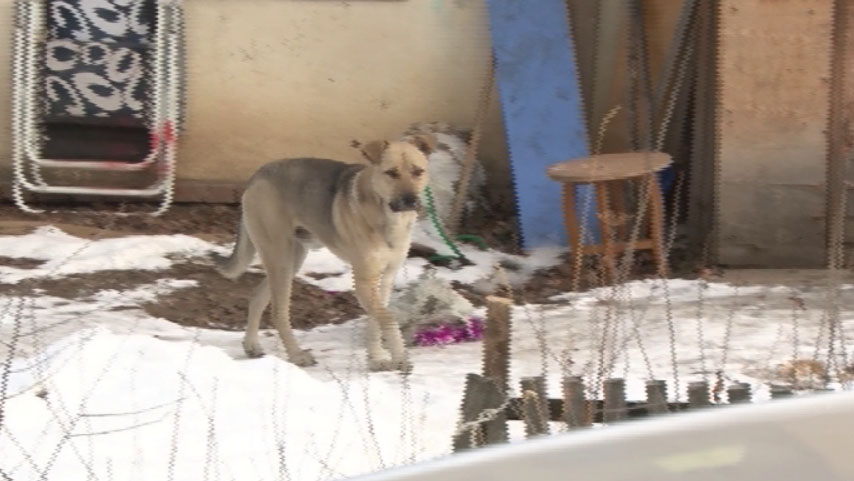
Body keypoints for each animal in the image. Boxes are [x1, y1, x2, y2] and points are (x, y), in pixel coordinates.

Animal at [214, 135, 434, 372]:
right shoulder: (364, 280)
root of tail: (258, 173)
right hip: (280, 257)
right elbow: (388, 318)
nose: (411, 200)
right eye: (391, 173)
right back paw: (297, 355)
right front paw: (400, 357)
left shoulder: (386, 278)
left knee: (257, 298)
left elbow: (377, 320)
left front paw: (376, 358)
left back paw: (252, 345)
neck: (388, 217)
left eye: (418, 172)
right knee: (278, 312)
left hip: (292, 259)